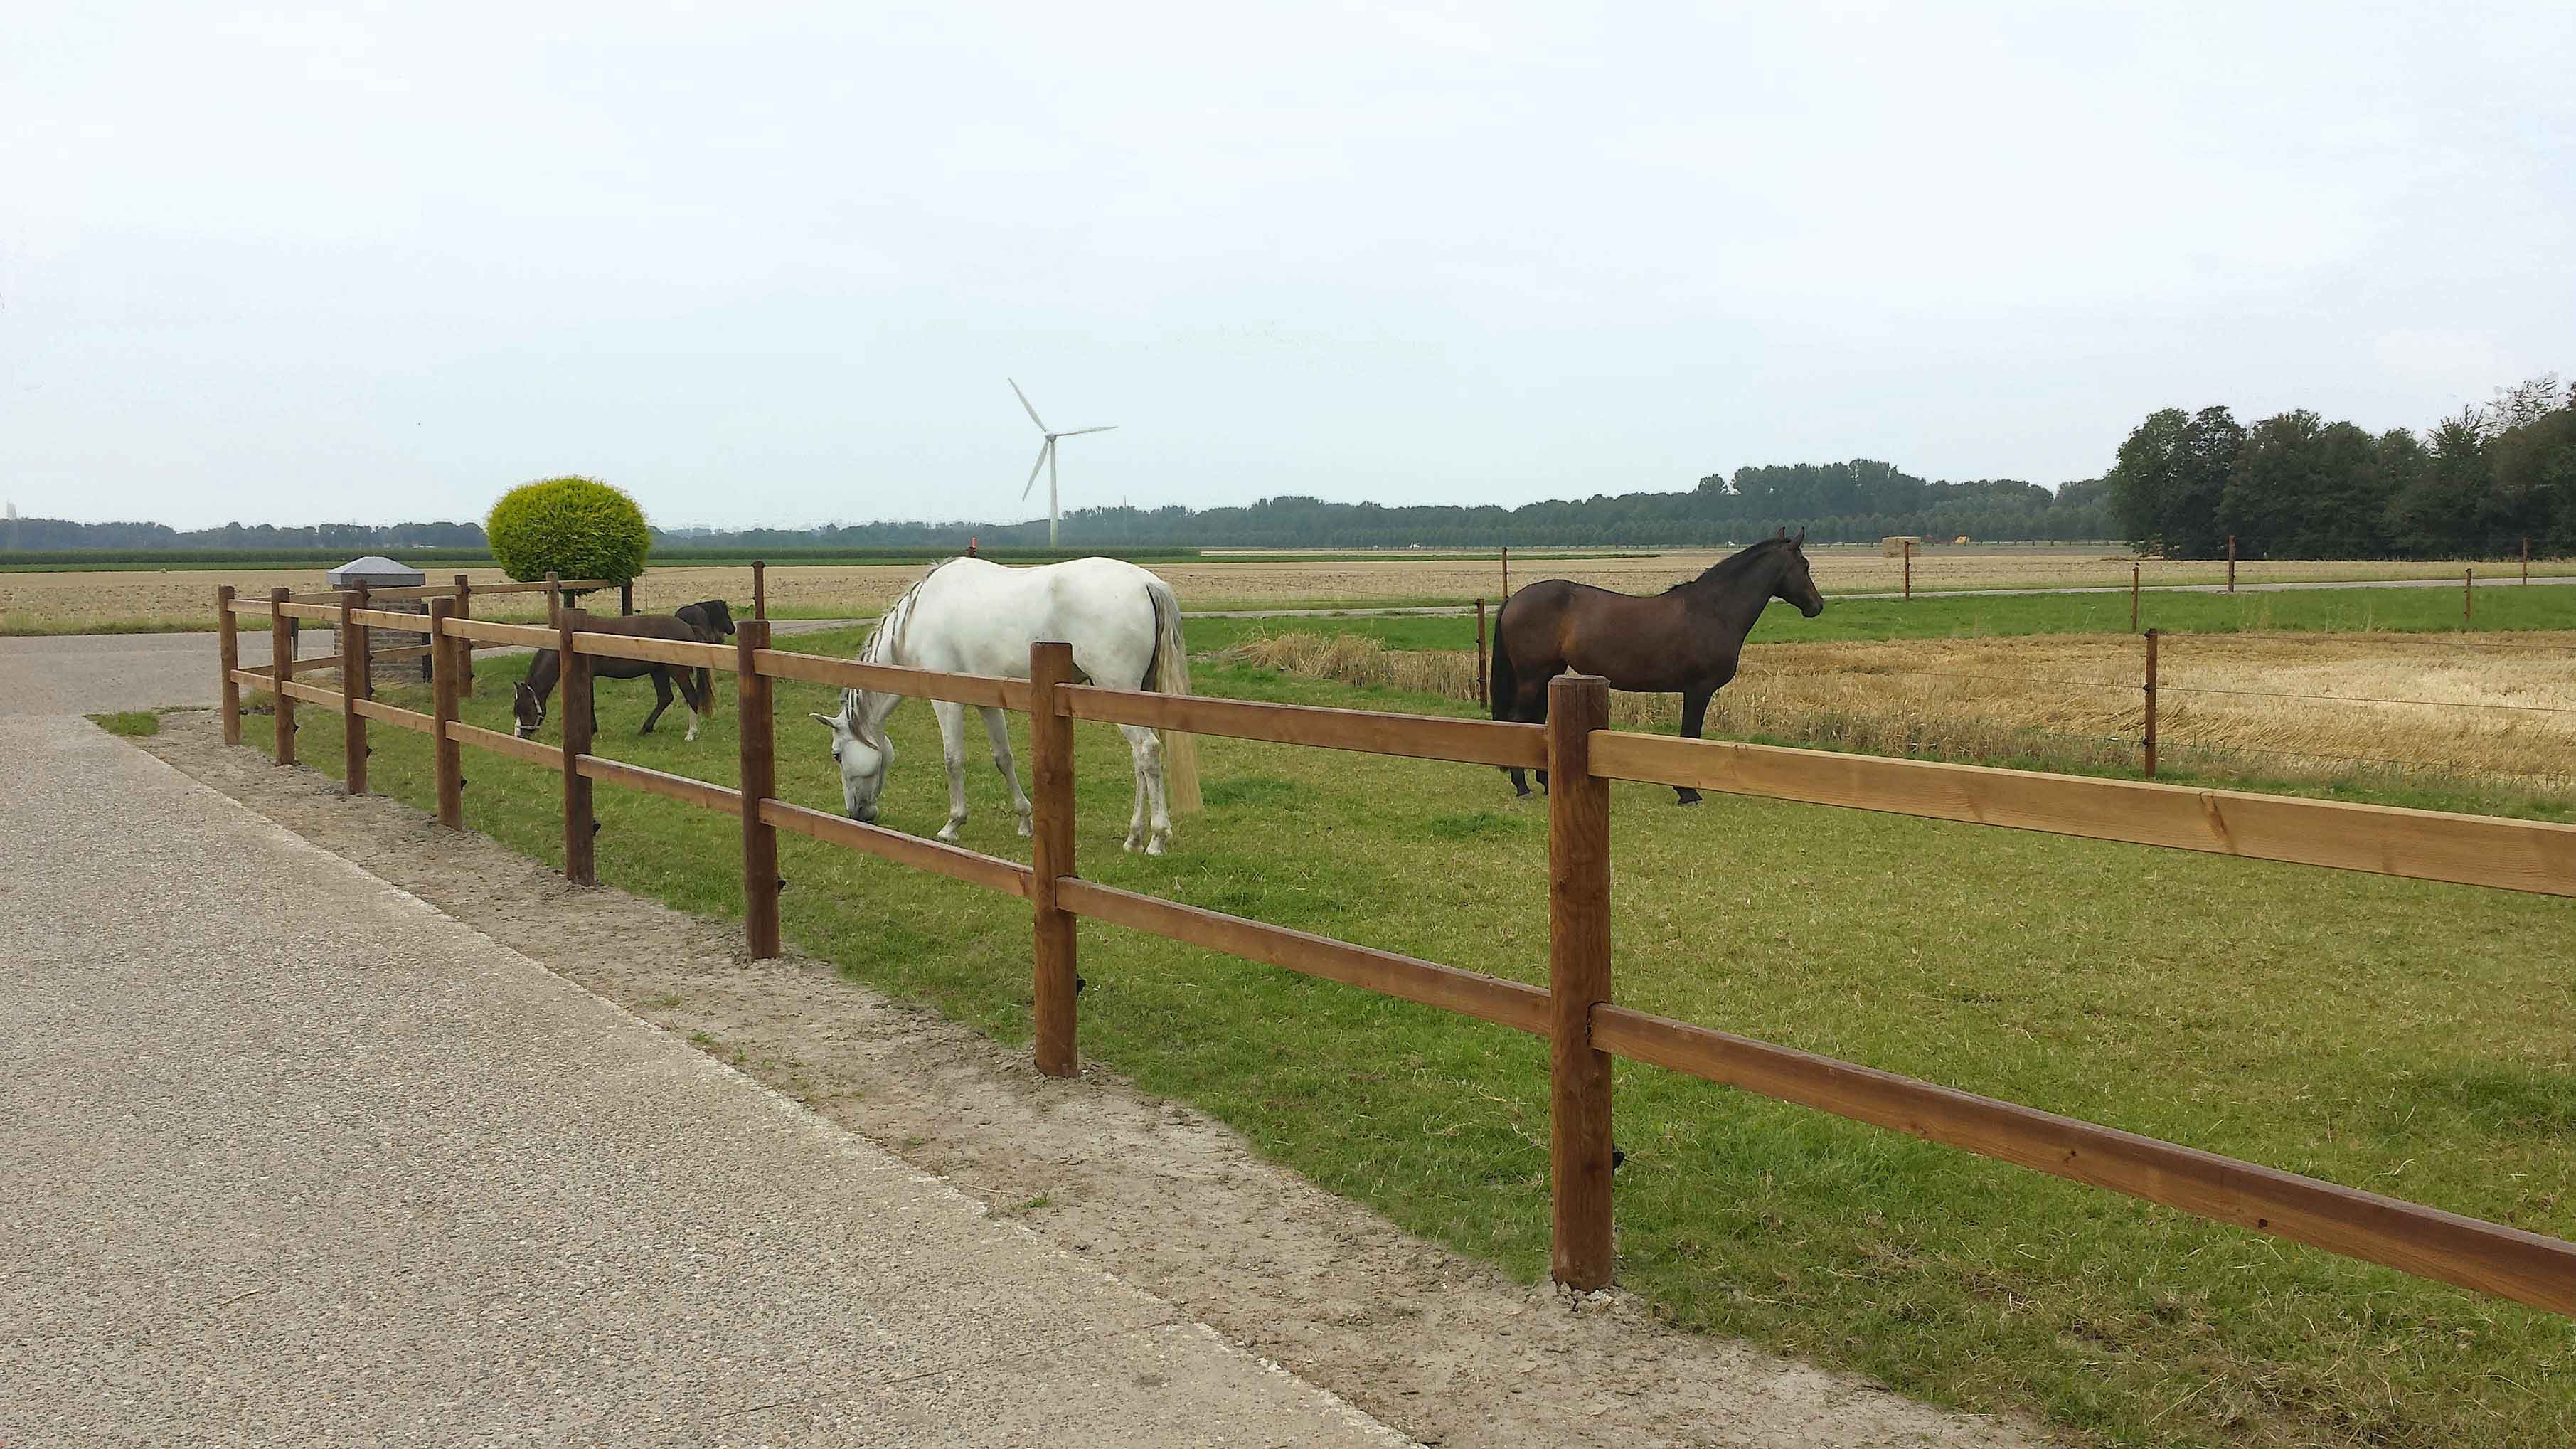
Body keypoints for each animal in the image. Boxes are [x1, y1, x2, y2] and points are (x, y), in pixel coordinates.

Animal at [809, 551, 1200, 845]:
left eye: (837, 755)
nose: (858, 814)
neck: (920, 616)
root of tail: (1147, 583)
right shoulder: (987, 702)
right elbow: (1004, 758)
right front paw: (1025, 821)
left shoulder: (947, 701)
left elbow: (953, 759)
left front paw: (952, 825)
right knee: (1140, 760)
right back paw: (1134, 836)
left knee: (1147, 751)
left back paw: (1157, 838)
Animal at [1494, 531, 1833, 799]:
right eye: (1805, 565)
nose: (1817, 606)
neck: (1713, 611)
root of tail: (1514, 600)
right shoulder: (1698, 690)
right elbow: (1690, 736)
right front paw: (1688, 793)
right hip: (1532, 677)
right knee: (1517, 720)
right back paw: (1522, 786)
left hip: (1549, 674)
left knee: (1536, 722)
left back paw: (1545, 782)